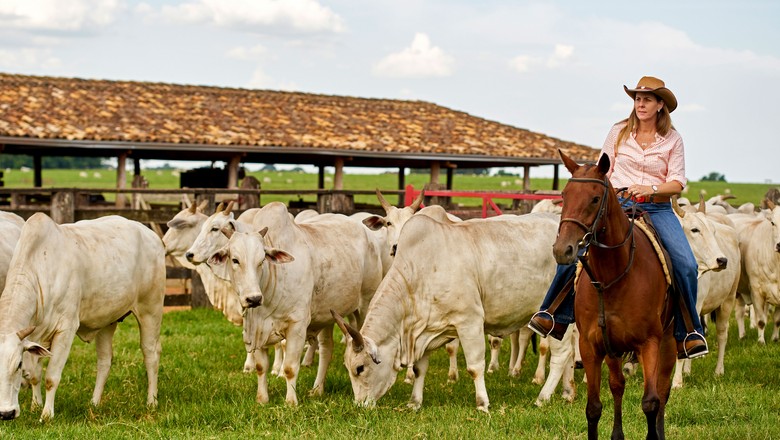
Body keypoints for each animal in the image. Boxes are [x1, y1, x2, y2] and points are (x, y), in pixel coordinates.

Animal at [0, 215, 163, 422]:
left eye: (18, 364)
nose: (6, 413)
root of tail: (150, 234)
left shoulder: (66, 328)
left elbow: (51, 377)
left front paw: (47, 415)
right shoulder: (34, 338)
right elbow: (35, 375)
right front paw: (35, 406)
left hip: (150, 309)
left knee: (151, 354)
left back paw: (152, 402)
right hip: (107, 319)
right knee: (104, 361)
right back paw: (94, 402)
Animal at [189, 203, 384, 406]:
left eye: (262, 260)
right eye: (235, 260)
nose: (253, 299)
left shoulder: (297, 326)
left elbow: (290, 367)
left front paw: (291, 401)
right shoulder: (256, 329)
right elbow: (261, 366)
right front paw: (262, 399)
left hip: (364, 305)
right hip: (328, 316)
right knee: (326, 349)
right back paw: (317, 390)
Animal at [332, 211, 568, 410]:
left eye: (360, 368)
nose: (360, 404)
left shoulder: (470, 321)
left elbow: (475, 367)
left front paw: (482, 403)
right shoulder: (424, 329)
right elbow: (419, 369)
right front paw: (414, 402)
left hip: (554, 318)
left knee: (561, 356)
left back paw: (543, 396)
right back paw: (568, 392)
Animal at [556, 150, 676, 440]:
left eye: (595, 199)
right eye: (564, 195)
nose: (562, 250)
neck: (612, 278)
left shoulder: (649, 342)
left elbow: (651, 402)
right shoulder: (590, 346)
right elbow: (594, 407)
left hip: (669, 341)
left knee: (662, 391)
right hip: (613, 349)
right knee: (617, 385)